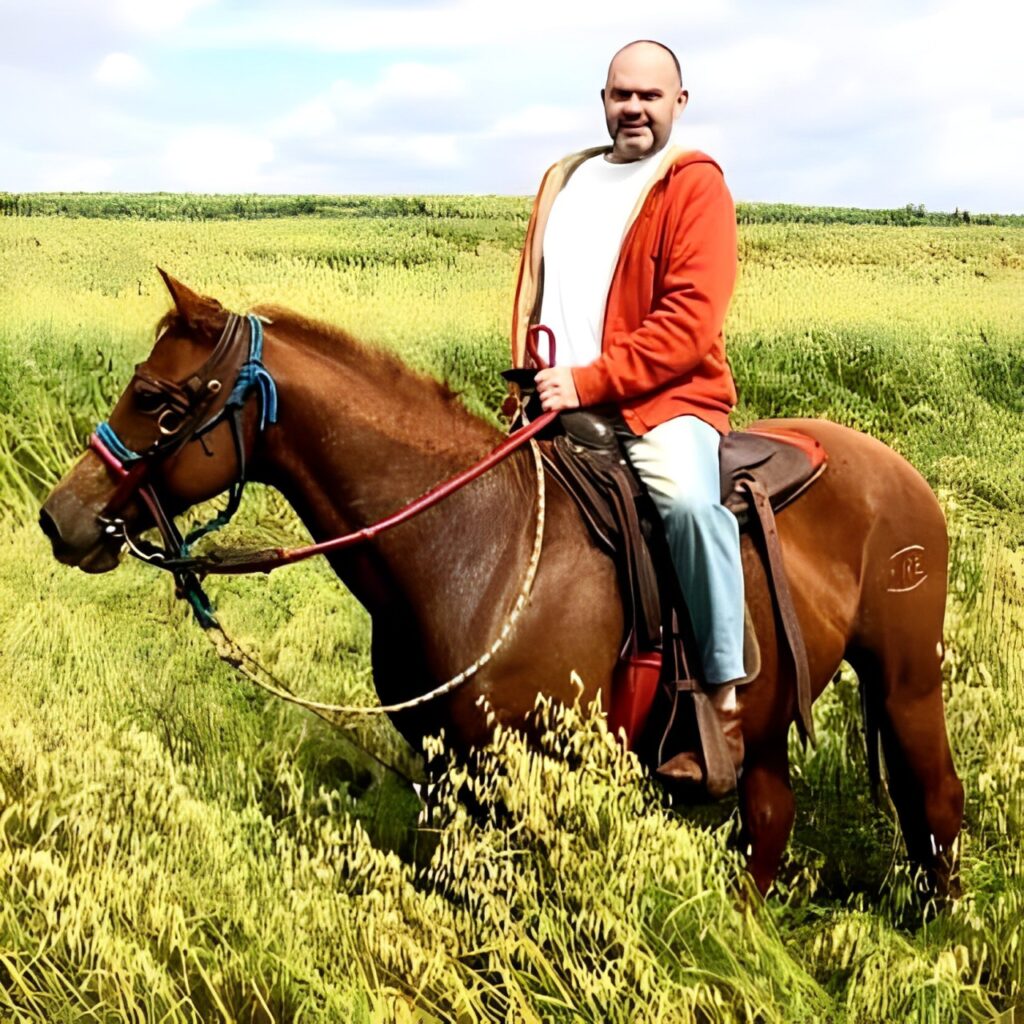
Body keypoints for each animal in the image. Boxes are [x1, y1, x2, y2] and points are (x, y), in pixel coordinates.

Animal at [39, 272, 962, 897]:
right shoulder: (446, 770)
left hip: (908, 680)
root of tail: (899, 474)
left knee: (936, 800)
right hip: (764, 726)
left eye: (155, 399)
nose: (60, 517)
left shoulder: (519, 777)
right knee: (768, 821)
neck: (468, 542)